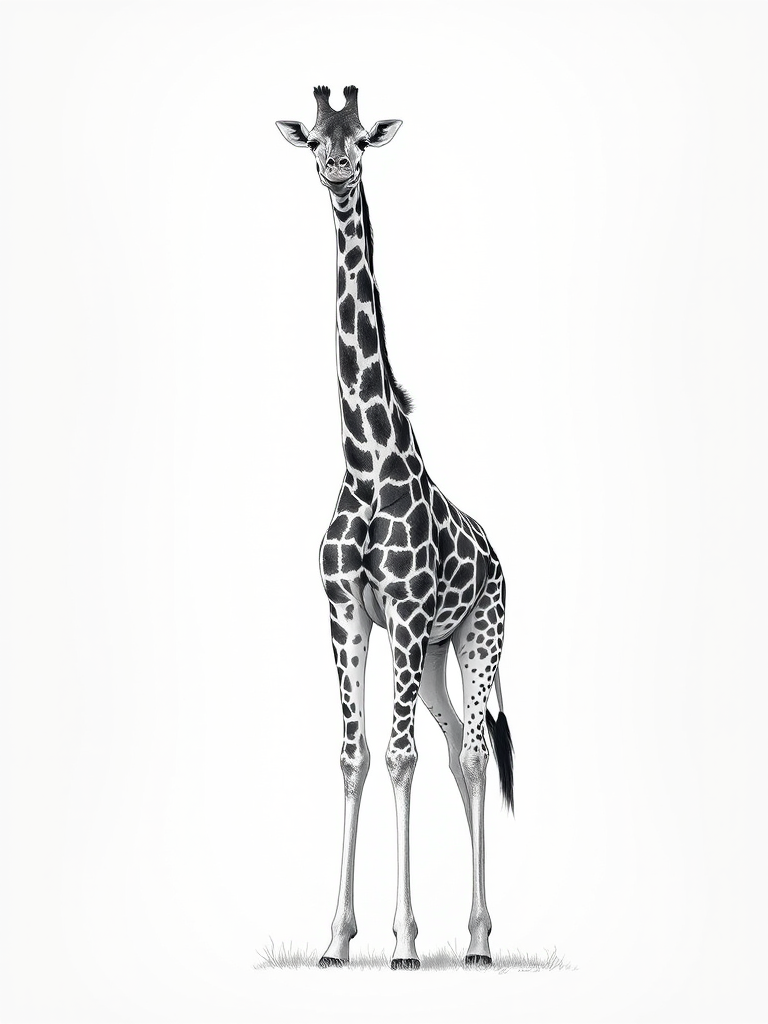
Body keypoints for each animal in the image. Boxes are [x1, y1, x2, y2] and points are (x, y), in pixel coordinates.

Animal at [276, 85, 515, 970]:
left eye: (362, 139)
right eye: (315, 134)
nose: (335, 168)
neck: (367, 462)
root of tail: (498, 556)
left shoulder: (406, 616)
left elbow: (399, 757)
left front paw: (405, 941)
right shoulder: (346, 612)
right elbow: (355, 755)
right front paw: (335, 939)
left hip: (478, 636)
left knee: (473, 755)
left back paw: (477, 941)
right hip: (440, 655)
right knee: (456, 752)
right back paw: (475, 934)